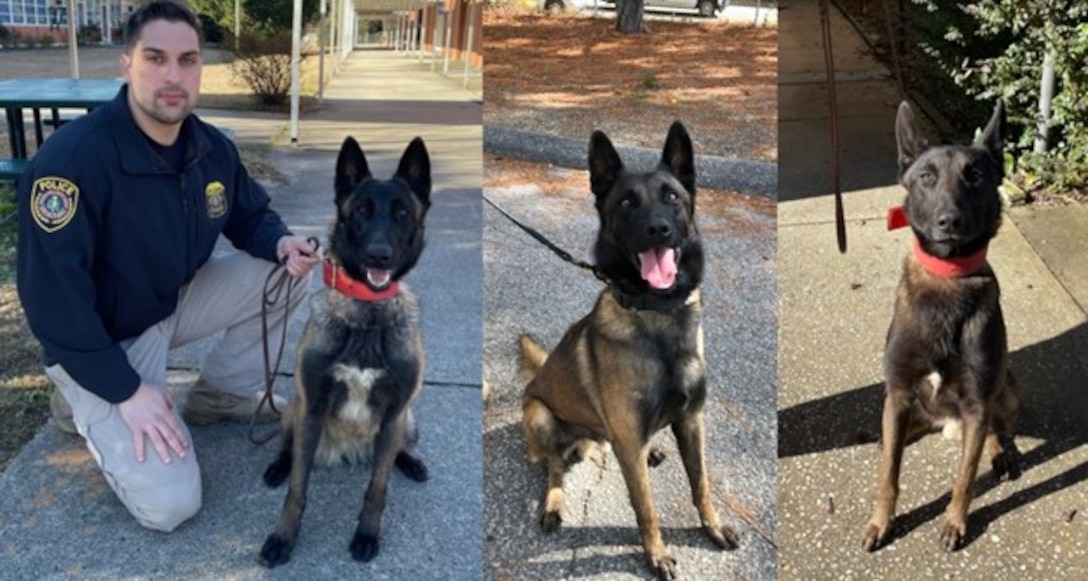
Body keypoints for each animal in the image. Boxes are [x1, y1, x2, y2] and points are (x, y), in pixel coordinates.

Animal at [260, 136, 433, 570]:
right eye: (361, 212)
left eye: (402, 212)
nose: (378, 255)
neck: (365, 317)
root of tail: (348, 451)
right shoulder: (312, 407)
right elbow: (297, 489)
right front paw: (283, 538)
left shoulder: (394, 413)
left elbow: (378, 488)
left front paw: (367, 535)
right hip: (294, 410)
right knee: (288, 449)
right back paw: (277, 466)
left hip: (407, 420)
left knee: (395, 451)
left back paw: (412, 462)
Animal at [517, 120, 739, 578]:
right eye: (625, 202)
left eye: (672, 197)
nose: (658, 228)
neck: (658, 315)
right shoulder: (631, 451)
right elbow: (646, 507)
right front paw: (656, 554)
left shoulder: (692, 421)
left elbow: (702, 484)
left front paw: (713, 526)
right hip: (539, 415)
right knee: (553, 465)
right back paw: (553, 502)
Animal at [861, 102, 1022, 552]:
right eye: (927, 177)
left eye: (976, 176)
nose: (950, 221)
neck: (948, 280)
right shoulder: (898, 393)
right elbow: (888, 475)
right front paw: (881, 522)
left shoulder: (978, 403)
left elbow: (964, 479)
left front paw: (955, 522)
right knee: (902, 433)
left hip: (1006, 392)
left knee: (993, 431)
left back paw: (1000, 453)